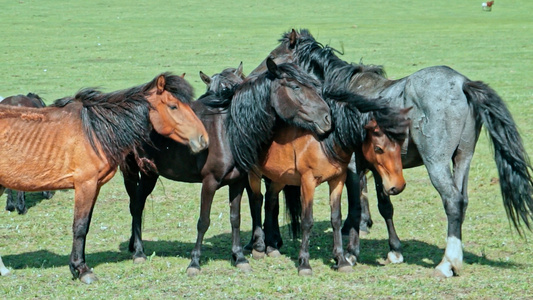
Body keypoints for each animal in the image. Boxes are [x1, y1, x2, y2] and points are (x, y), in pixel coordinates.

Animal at [0, 73, 208, 284]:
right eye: (173, 106)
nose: (203, 139)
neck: (94, 130)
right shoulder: (85, 185)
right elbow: (80, 226)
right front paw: (81, 269)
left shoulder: (95, 186)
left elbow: (86, 225)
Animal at [255, 29, 532, 278]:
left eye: (273, 57)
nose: (254, 78)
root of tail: (462, 83)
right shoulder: (379, 169)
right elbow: (384, 205)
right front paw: (394, 250)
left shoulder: (353, 168)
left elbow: (356, 207)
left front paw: (351, 254)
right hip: (463, 157)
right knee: (462, 200)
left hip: (437, 162)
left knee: (453, 201)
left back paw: (447, 263)